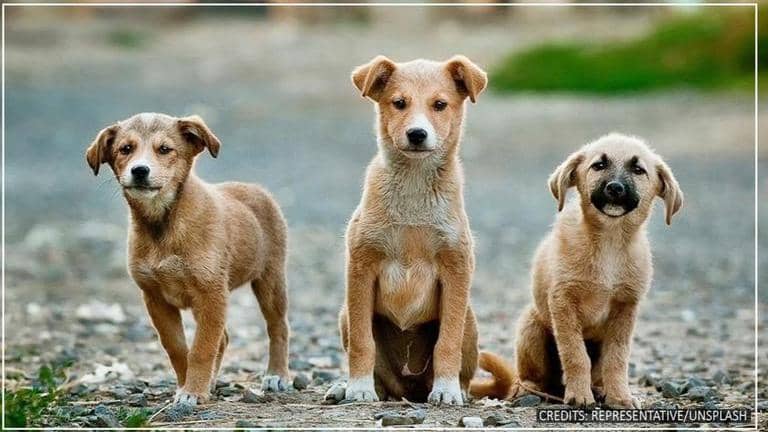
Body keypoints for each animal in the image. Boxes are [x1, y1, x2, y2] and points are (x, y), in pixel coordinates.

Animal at [85, 113, 291, 405]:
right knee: (224, 338)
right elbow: (178, 348)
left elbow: (202, 348)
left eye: (164, 149)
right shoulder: (155, 298)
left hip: (270, 280)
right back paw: (213, 382)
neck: (163, 225)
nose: (140, 170)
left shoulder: (211, 293)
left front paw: (193, 391)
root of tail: (255, 188)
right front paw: (187, 386)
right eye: (125, 149)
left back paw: (277, 375)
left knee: (278, 327)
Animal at [331, 55, 487, 405]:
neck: (414, 188)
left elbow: (447, 342)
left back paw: (456, 389)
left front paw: (446, 390)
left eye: (440, 105)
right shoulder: (361, 267)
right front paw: (358, 387)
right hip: (345, 314)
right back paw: (350, 387)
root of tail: (409, 389)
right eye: (399, 103)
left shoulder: (456, 268)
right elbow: (362, 342)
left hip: (470, 319)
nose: (417, 134)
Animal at [469, 133, 683, 408]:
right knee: (530, 376)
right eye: (598, 165)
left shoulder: (625, 308)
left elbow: (617, 358)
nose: (615, 188)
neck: (609, 242)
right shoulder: (563, 302)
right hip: (531, 326)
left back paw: (599, 389)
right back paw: (529, 390)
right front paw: (580, 396)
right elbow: (575, 354)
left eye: (638, 170)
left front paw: (619, 397)